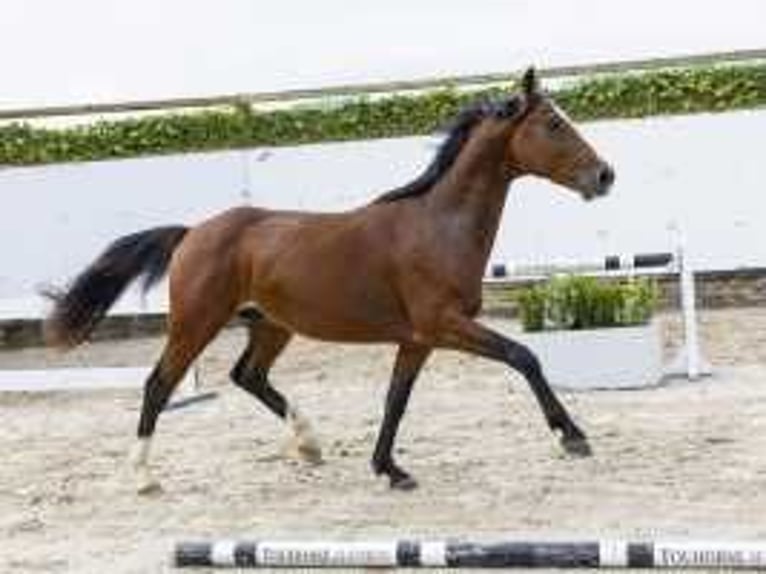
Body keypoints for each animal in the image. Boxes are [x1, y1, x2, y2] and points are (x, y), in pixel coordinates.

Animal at [43, 70, 616, 496]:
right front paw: (573, 437)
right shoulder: (444, 326)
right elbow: (525, 357)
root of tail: (192, 232)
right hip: (196, 323)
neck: (437, 225)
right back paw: (144, 477)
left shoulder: (417, 339)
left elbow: (395, 401)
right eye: (553, 123)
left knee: (248, 376)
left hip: (270, 326)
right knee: (159, 384)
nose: (605, 175)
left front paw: (390, 469)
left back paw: (309, 444)